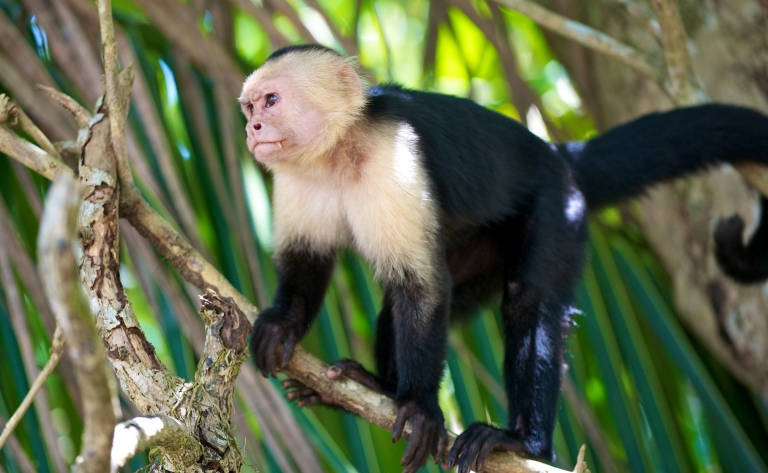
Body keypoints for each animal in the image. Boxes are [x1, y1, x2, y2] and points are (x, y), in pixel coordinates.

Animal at [240, 45, 768, 472]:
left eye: (272, 101)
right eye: (248, 106)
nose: (251, 128)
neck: (335, 152)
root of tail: (558, 154)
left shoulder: (394, 158)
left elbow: (422, 286)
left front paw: (420, 408)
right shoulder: (294, 177)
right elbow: (309, 261)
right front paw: (284, 325)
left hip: (558, 206)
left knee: (527, 300)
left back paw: (525, 442)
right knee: (410, 301)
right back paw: (377, 387)